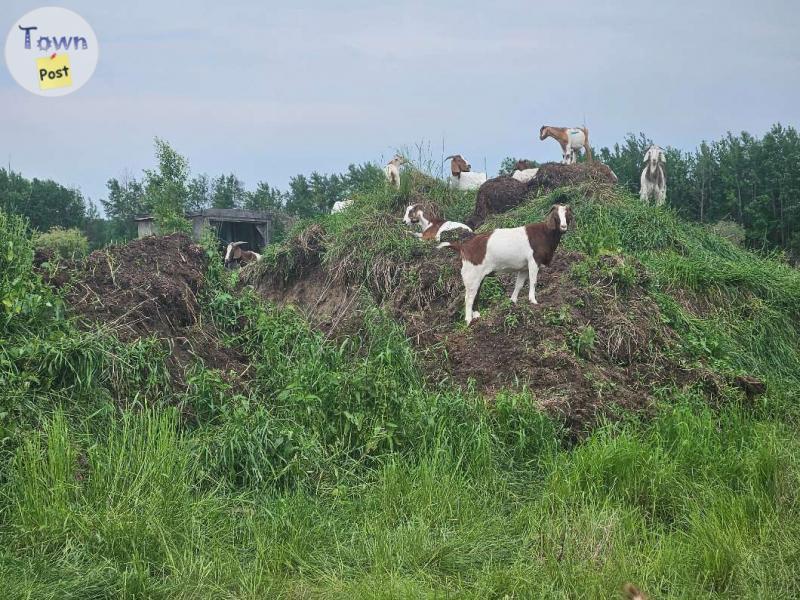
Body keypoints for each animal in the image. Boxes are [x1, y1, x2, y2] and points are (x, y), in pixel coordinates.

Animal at [438, 204, 576, 324]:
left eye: (567, 215)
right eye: (556, 216)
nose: (563, 226)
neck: (545, 233)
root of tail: (463, 246)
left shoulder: (524, 267)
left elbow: (519, 285)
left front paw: (513, 302)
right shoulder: (533, 261)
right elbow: (533, 281)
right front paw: (533, 300)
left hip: (478, 276)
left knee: (475, 294)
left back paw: (476, 315)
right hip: (471, 274)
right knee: (469, 297)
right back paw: (468, 320)